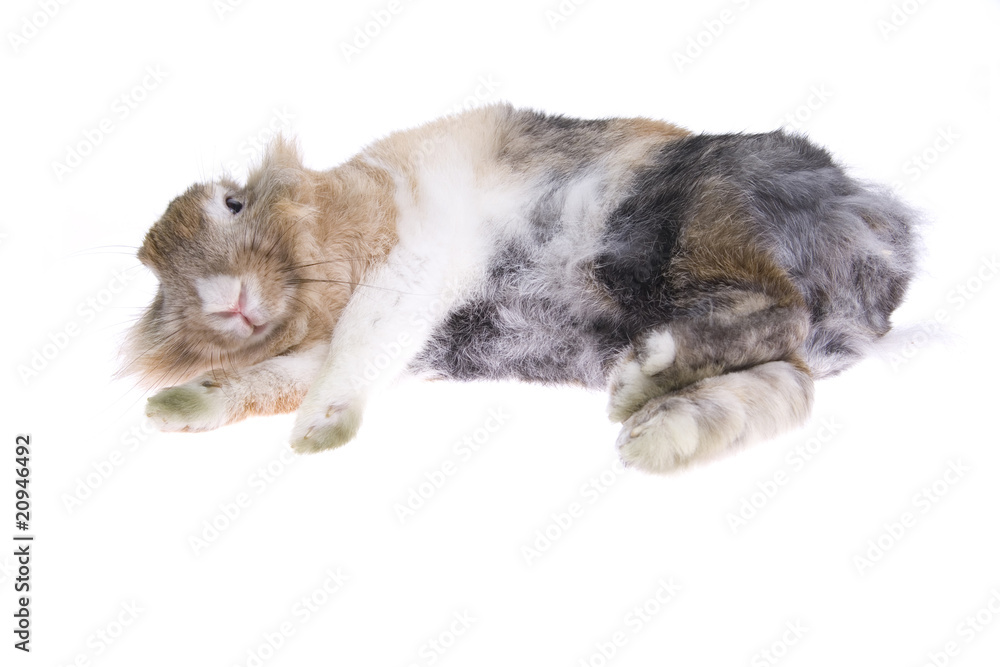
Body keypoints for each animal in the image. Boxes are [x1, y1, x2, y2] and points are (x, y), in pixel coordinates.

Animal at [119, 103, 917, 474]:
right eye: (154, 275)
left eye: (234, 203)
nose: (223, 297)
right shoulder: (379, 345)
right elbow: (263, 379)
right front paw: (175, 409)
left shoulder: (412, 269)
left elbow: (352, 348)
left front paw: (317, 431)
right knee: (788, 381)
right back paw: (659, 435)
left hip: (698, 228)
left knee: (777, 312)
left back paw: (641, 379)